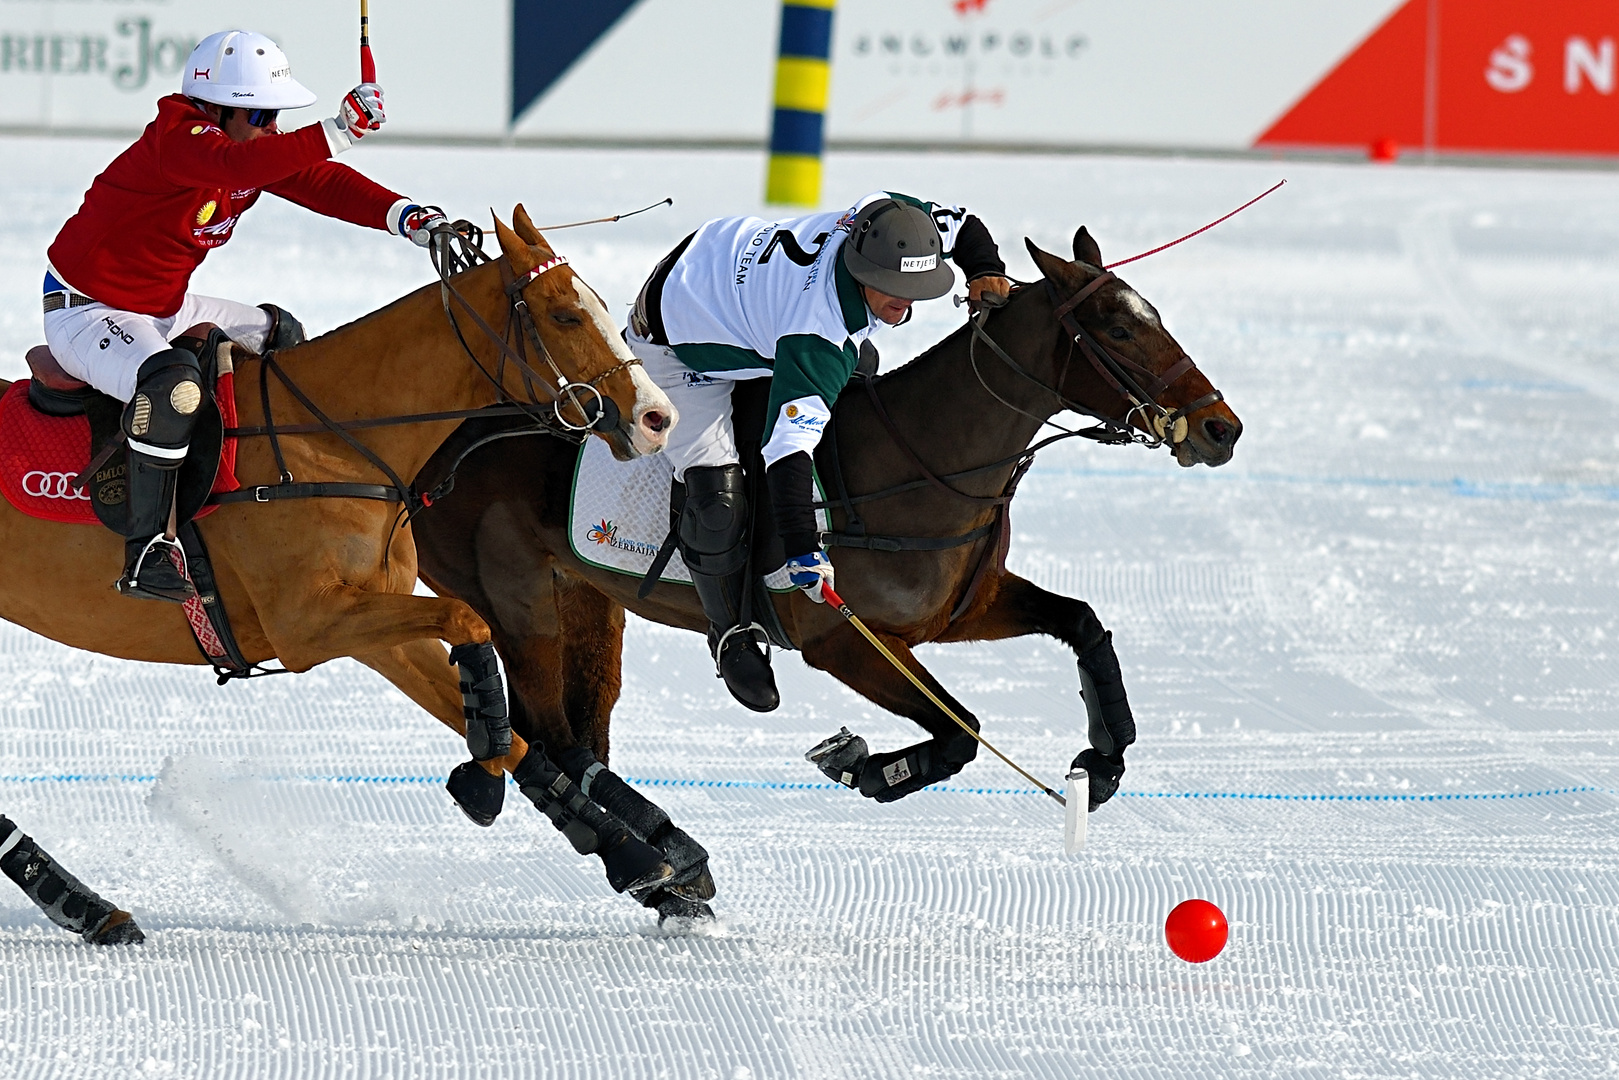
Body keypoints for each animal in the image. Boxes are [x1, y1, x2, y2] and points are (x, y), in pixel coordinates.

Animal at [0, 207, 683, 939]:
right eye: (563, 314)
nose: (657, 419)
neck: (336, 440)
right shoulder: (308, 625)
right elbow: (469, 625)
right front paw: (487, 771)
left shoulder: (370, 622)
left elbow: (508, 724)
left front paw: (635, 859)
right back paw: (79, 902)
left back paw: (84, 904)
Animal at [411, 228, 1243, 919]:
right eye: (1116, 327)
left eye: (1153, 315)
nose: (1219, 428)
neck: (923, 459)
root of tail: (438, 445)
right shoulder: (841, 639)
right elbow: (959, 731)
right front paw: (856, 764)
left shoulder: (959, 613)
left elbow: (1080, 622)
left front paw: (1100, 764)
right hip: (512, 596)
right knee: (544, 738)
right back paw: (651, 859)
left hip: (585, 598)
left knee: (573, 736)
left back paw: (668, 870)